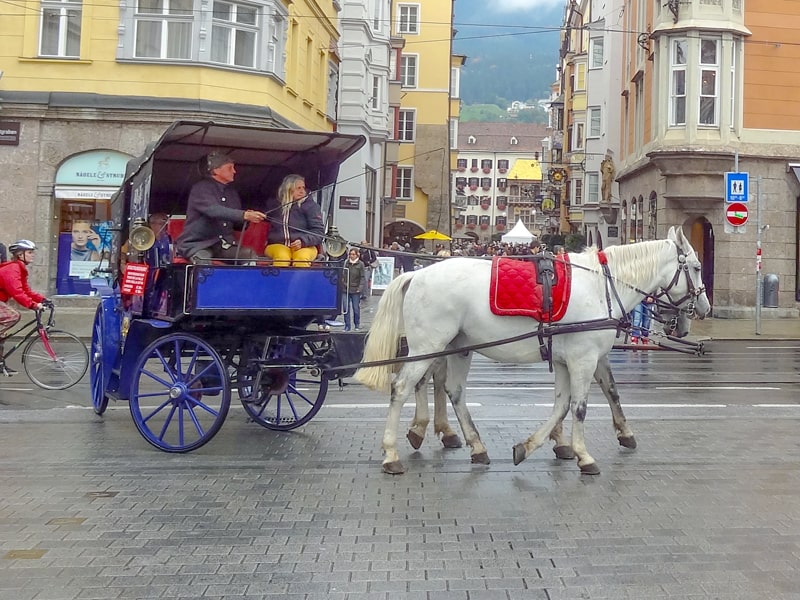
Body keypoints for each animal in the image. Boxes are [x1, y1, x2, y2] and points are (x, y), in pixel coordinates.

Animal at [358, 227, 712, 476]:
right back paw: (392, 454)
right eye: (696, 267)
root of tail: (416, 273)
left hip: (457, 346)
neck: (602, 287)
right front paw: (584, 455)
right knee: (403, 387)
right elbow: (579, 407)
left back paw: (473, 444)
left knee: (451, 389)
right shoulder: (583, 359)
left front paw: (534, 446)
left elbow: (570, 403)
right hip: (428, 345)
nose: (705, 308)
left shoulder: (573, 360)